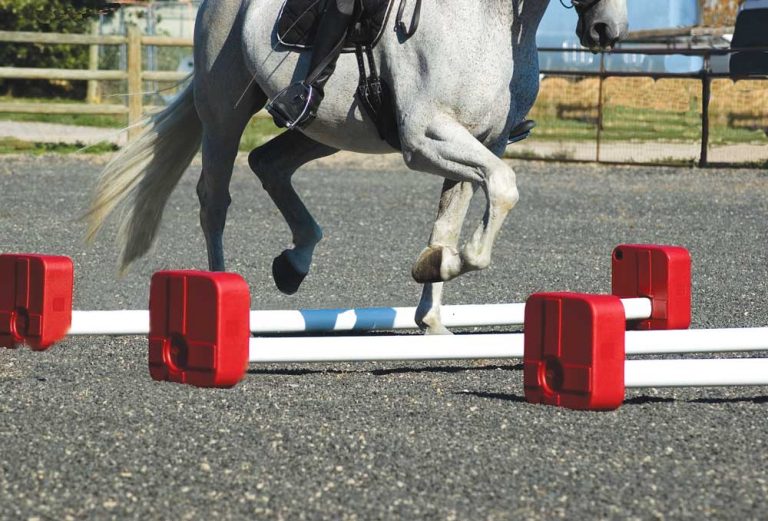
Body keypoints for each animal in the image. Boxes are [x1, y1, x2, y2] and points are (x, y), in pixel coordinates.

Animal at [85, 0, 628, 334]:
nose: (607, 30)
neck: (484, 20)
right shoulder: (426, 137)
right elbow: (504, 187)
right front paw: (441, 268)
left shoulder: (482, 141)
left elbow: (452, 222)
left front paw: (433, 305)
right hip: (223, 111)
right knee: (214, 199)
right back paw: (224, 295)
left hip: (323, 129)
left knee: (268, 163)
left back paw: (295, 261)